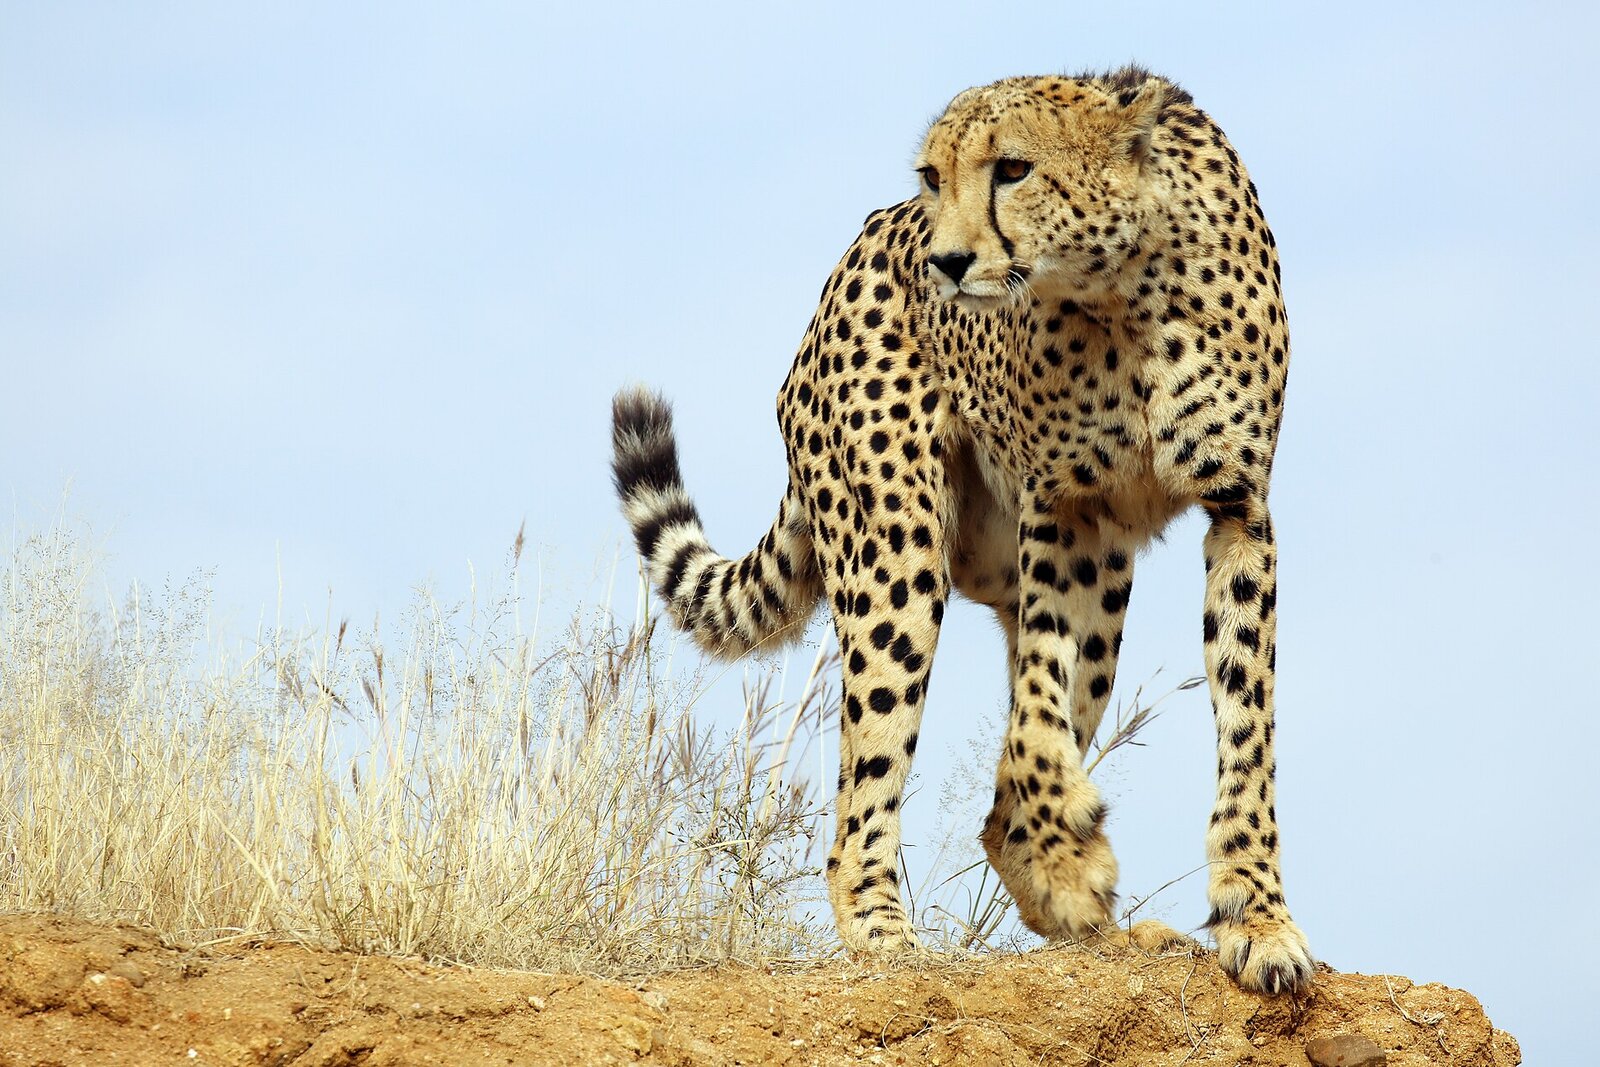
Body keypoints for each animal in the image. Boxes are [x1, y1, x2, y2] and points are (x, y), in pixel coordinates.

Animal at [609, 65, 1314, 995]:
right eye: (933, 177)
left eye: (1012, 169)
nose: (943, 263)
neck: (1124, 290)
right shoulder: (1061, 513)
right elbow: (1033, 718)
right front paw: (1071, 858)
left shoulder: (1238, 510)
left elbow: (1244, 722)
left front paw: (1256, 917)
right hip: (899, 557)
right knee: (869, 791)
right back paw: (894, 933)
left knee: (1005, 785)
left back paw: (1087, 913)